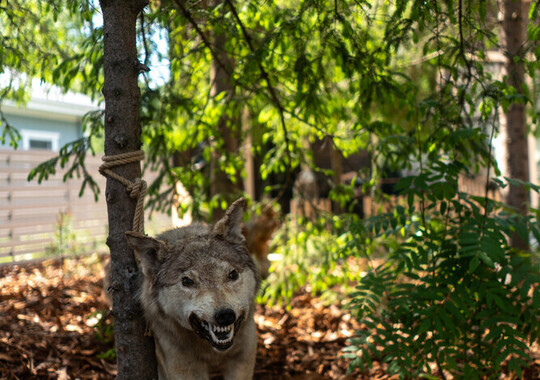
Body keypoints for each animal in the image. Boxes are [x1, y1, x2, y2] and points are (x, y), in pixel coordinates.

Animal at [127, 199, 262, 380]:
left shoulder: (243, 357)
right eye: (187, 281)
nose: (225, 315)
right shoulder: (185, 368)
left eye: (232, 274)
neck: (211, 351)